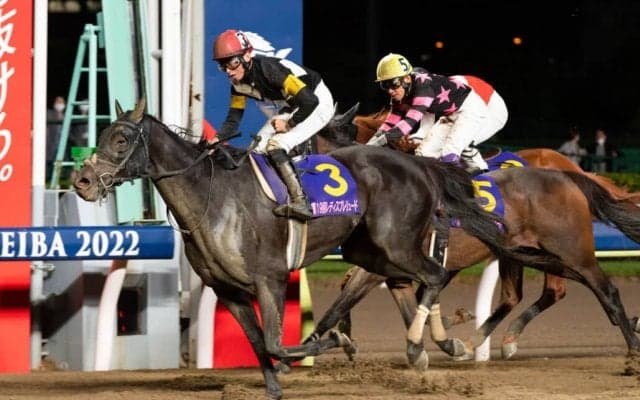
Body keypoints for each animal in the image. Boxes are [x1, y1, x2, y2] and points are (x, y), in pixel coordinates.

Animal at [72, 99, 552, 399]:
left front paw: (330, 343)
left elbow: (278, 342)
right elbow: (262, 346)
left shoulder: (269, 277)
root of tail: (418, 165)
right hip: (367, 251)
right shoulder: (228, 290)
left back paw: (430, 343)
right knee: (414, 280)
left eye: (121, 139)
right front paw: (279, 382)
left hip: (395, 242)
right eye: (103, 134)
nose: (82, 180)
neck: (212, 197)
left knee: (432, 275)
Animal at [300, 105, 640, 374]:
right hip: (528, 253)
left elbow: (351, 297)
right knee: (525, 294)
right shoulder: (395, 266)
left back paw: (631, 349)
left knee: (599, 291)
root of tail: (569, 174)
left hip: (570, 251)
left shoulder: (397, 261)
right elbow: (354, 296)